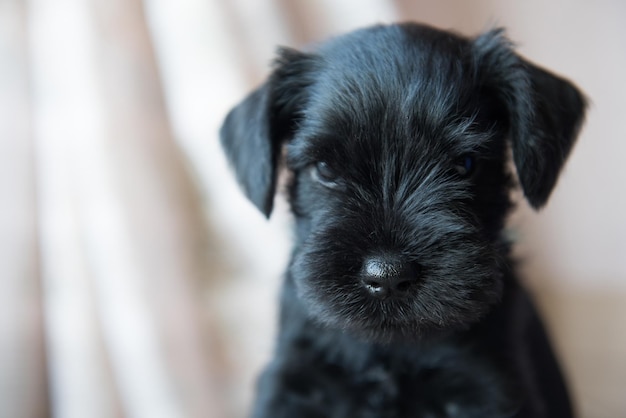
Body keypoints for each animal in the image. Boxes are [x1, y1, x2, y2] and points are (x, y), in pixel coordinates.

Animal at [219, 22, 584, 418]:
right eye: (325, 169)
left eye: (465, 164)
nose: (388, 276)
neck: (387, 351)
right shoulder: (293, 385)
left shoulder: (484, 389)